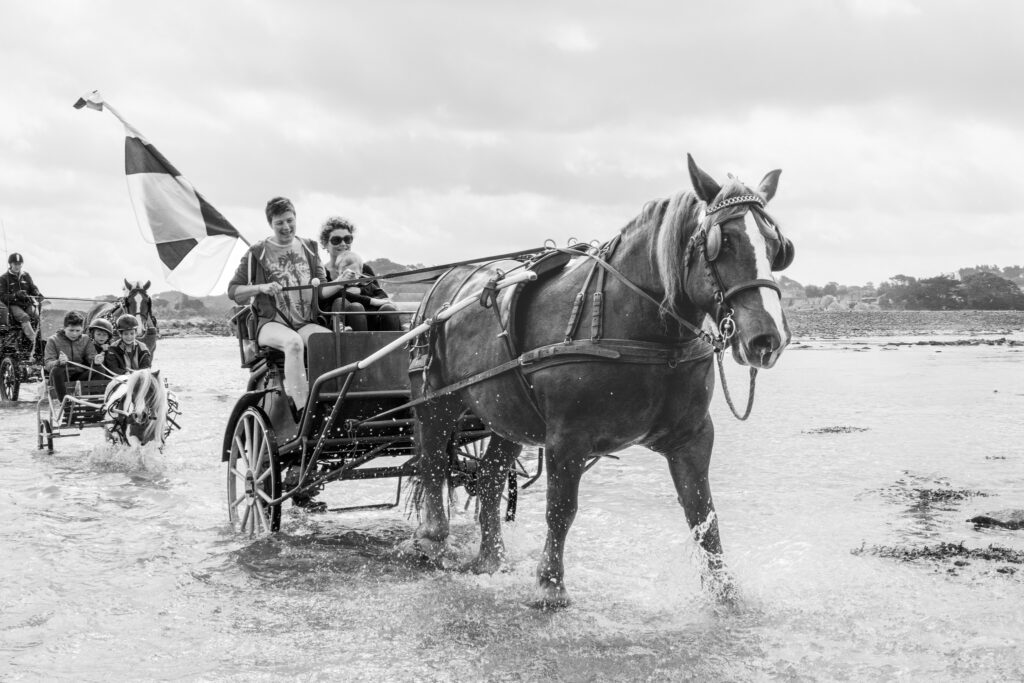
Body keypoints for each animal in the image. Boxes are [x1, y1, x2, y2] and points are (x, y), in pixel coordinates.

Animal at [409, 154, 794, 606]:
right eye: (724, 242)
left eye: (777, 247)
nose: (768, 338)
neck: (640, 327)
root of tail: (441, 285)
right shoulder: (566, 438)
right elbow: (561, 509)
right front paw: (550, 586)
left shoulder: (692, 437)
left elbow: (702, 513)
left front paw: (724, 591)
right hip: (436, 402)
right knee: (432, 461)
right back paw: (433, 539)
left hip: (507, 413)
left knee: (487, 479)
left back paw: (491, 560)